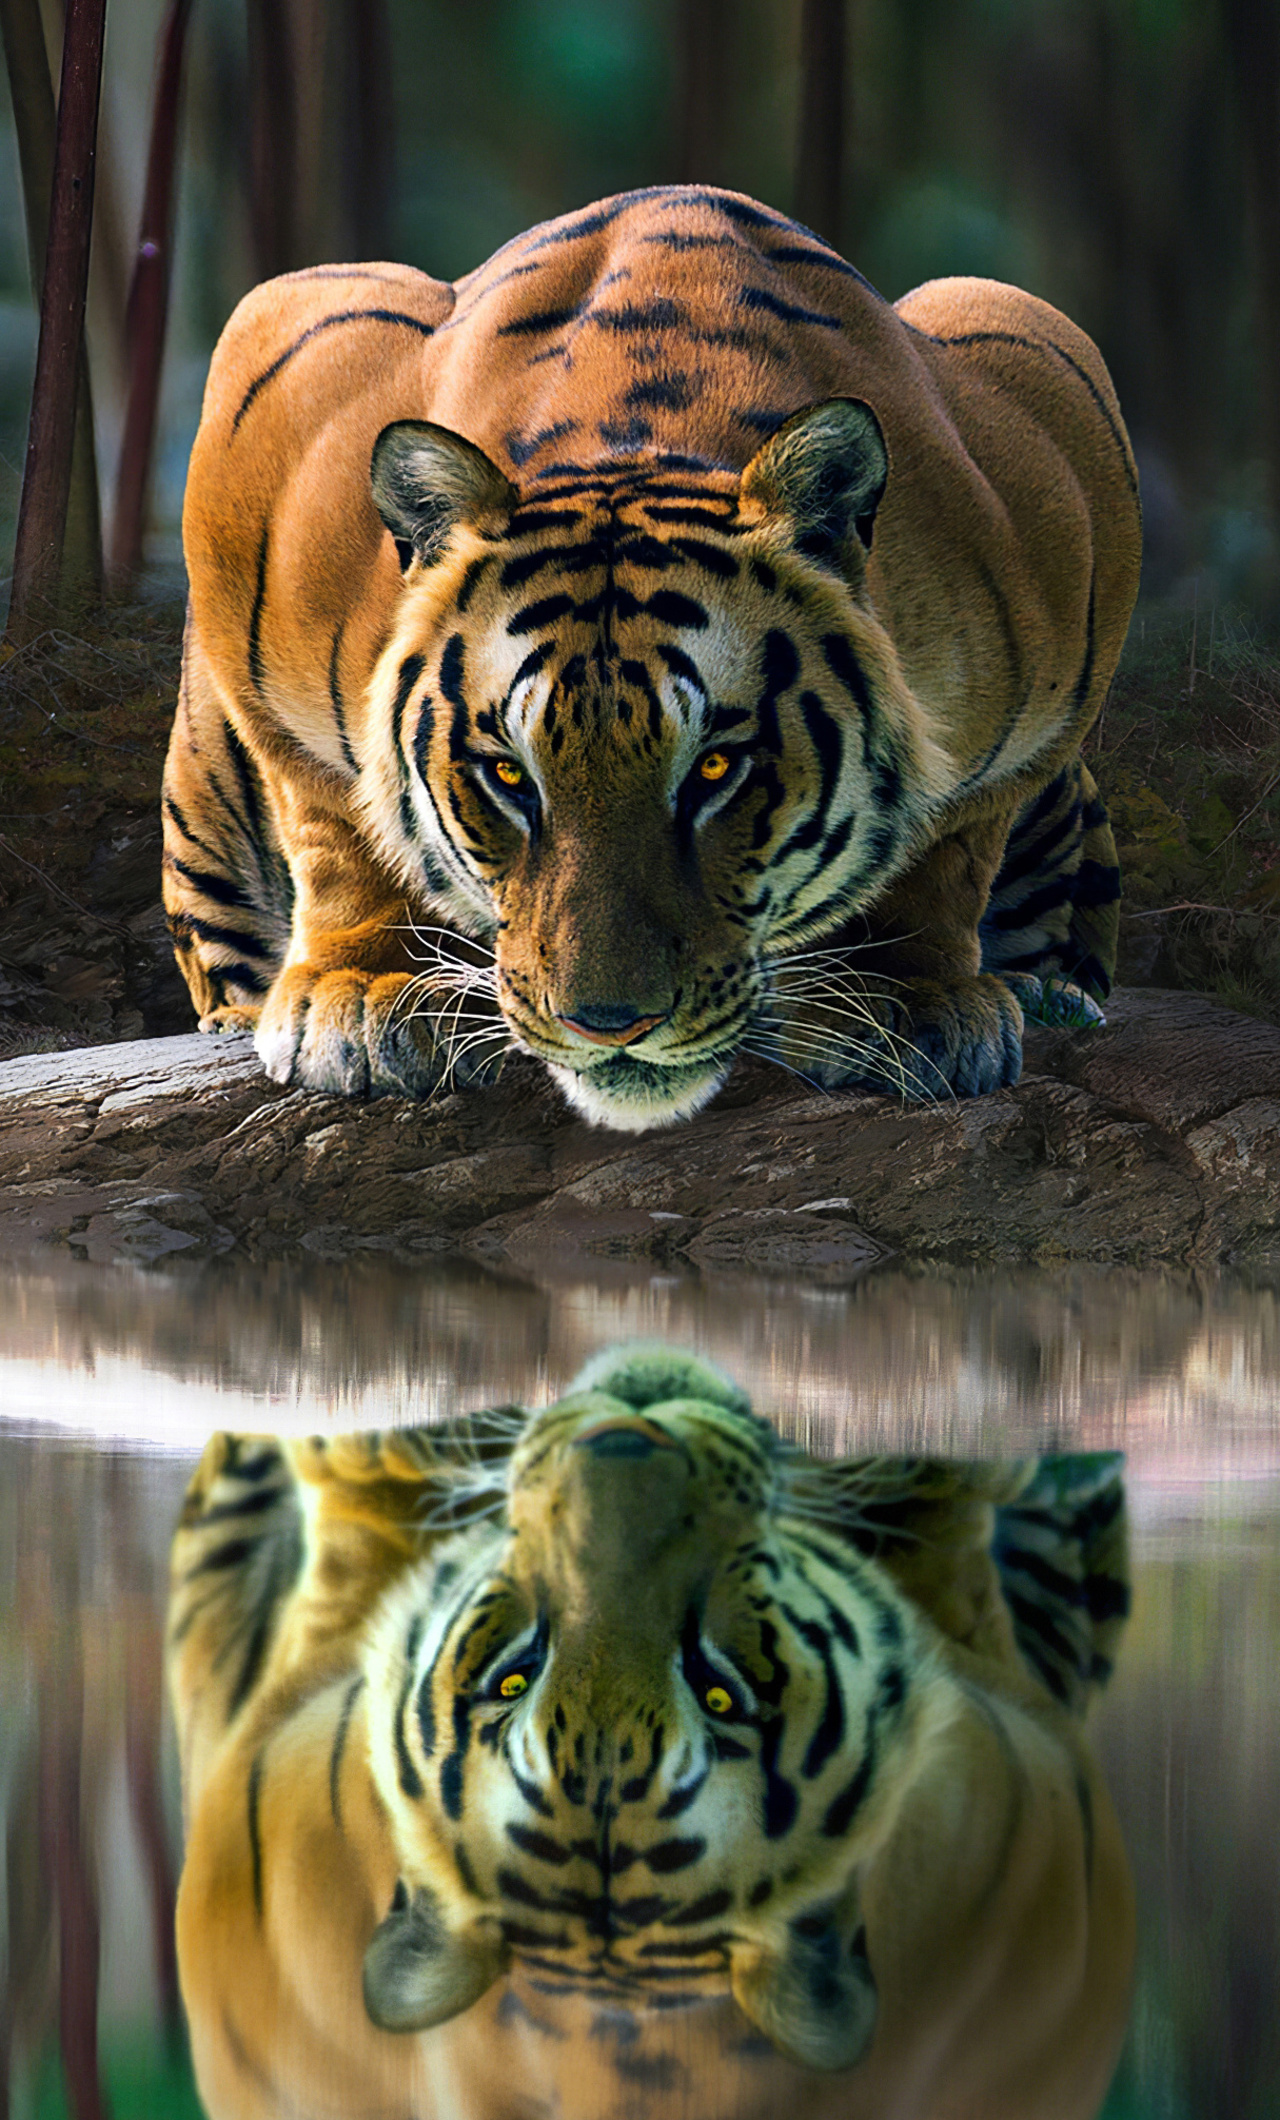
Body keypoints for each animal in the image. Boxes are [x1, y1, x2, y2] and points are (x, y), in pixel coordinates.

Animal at [163, 183, 1141, 1130]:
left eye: (714, 769)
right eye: (508, 775)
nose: (608, 1025)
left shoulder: (1053, 418)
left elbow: (949, 842)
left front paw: (902, 998)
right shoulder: (279, 370)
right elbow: (336, 816)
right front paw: (371, 992)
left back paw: (1052, 996)